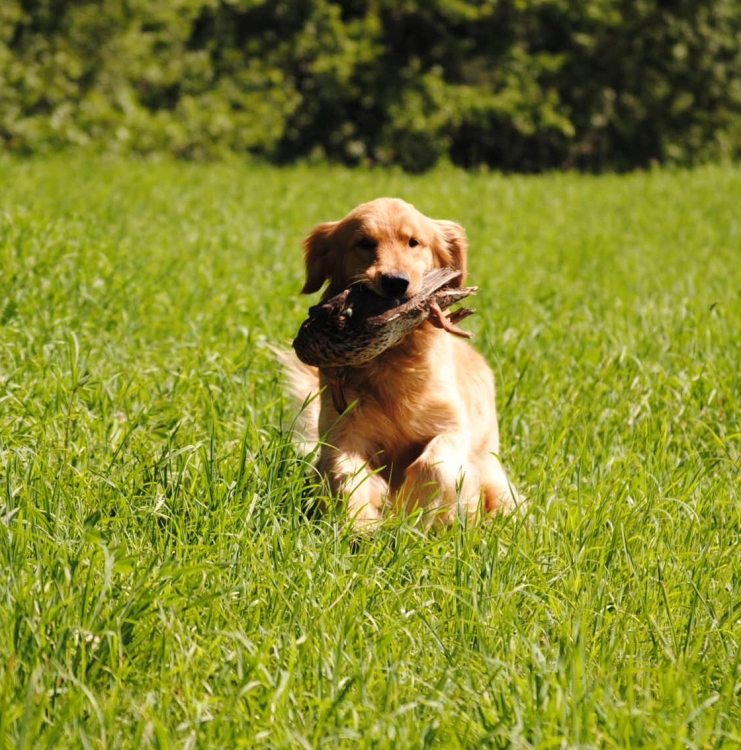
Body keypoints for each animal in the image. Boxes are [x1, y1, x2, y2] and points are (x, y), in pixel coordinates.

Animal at [283, 197, 520, 527]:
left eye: (414, 242)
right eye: (364, 243)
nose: (396, 282)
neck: (392, 358)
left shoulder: (451, 425)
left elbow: (434, 464)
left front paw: (412, 512)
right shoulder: (342, 433)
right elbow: (346, 474)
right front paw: (362, 524)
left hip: (496, 479)